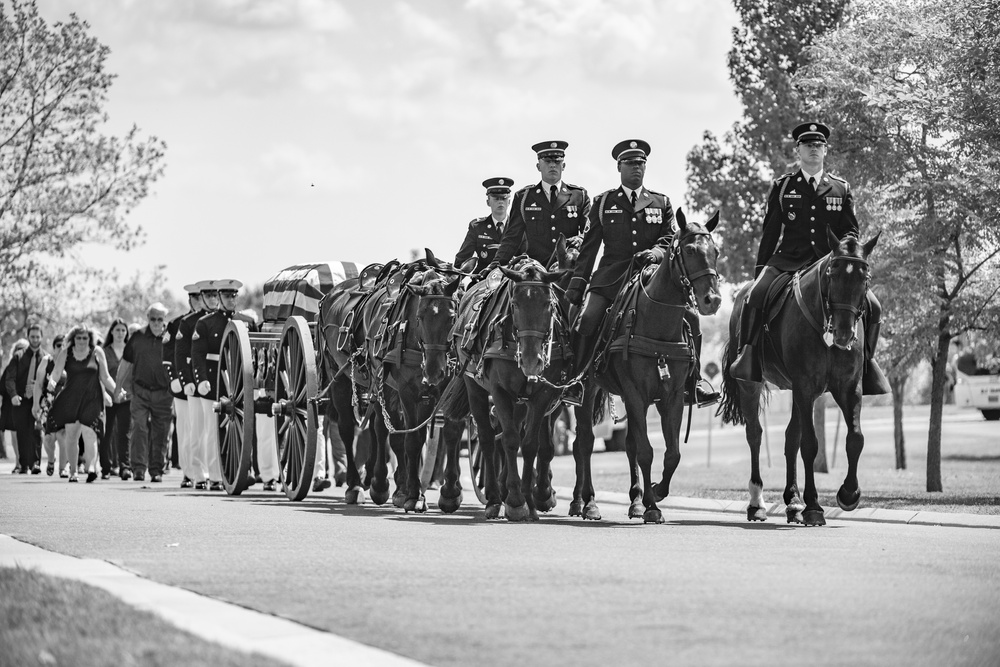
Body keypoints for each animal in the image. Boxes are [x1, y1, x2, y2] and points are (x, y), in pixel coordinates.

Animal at [720, 230, 884, 528]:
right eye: (833, 273)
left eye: (865, 278)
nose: (844, 334)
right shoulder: (805, 387)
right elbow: (810, 444)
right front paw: (814, 507)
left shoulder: (848, 388)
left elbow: (855, 438)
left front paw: (848, 494)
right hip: (752, 384)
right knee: (755, 435)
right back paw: (757, 503)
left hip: (796, 391)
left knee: (789, 437)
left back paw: (793, 501)